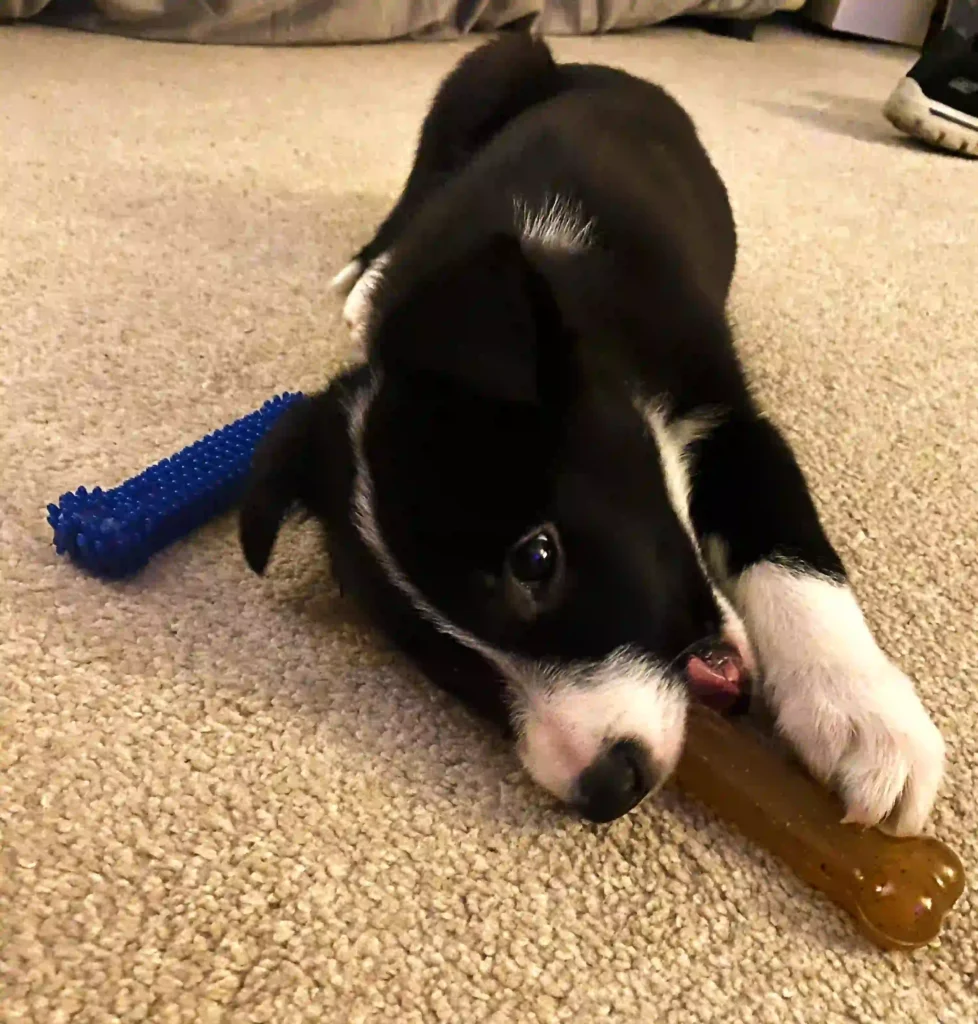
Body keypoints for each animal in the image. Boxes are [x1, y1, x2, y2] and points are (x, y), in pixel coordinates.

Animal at [238, 34, 950, 831]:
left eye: (536, 559)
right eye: (431, 653)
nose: (609, 787)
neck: (549, 273)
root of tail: (589, 66)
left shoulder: (731, 418)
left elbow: (792, 551)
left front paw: (863, 719)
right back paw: (365, 278)